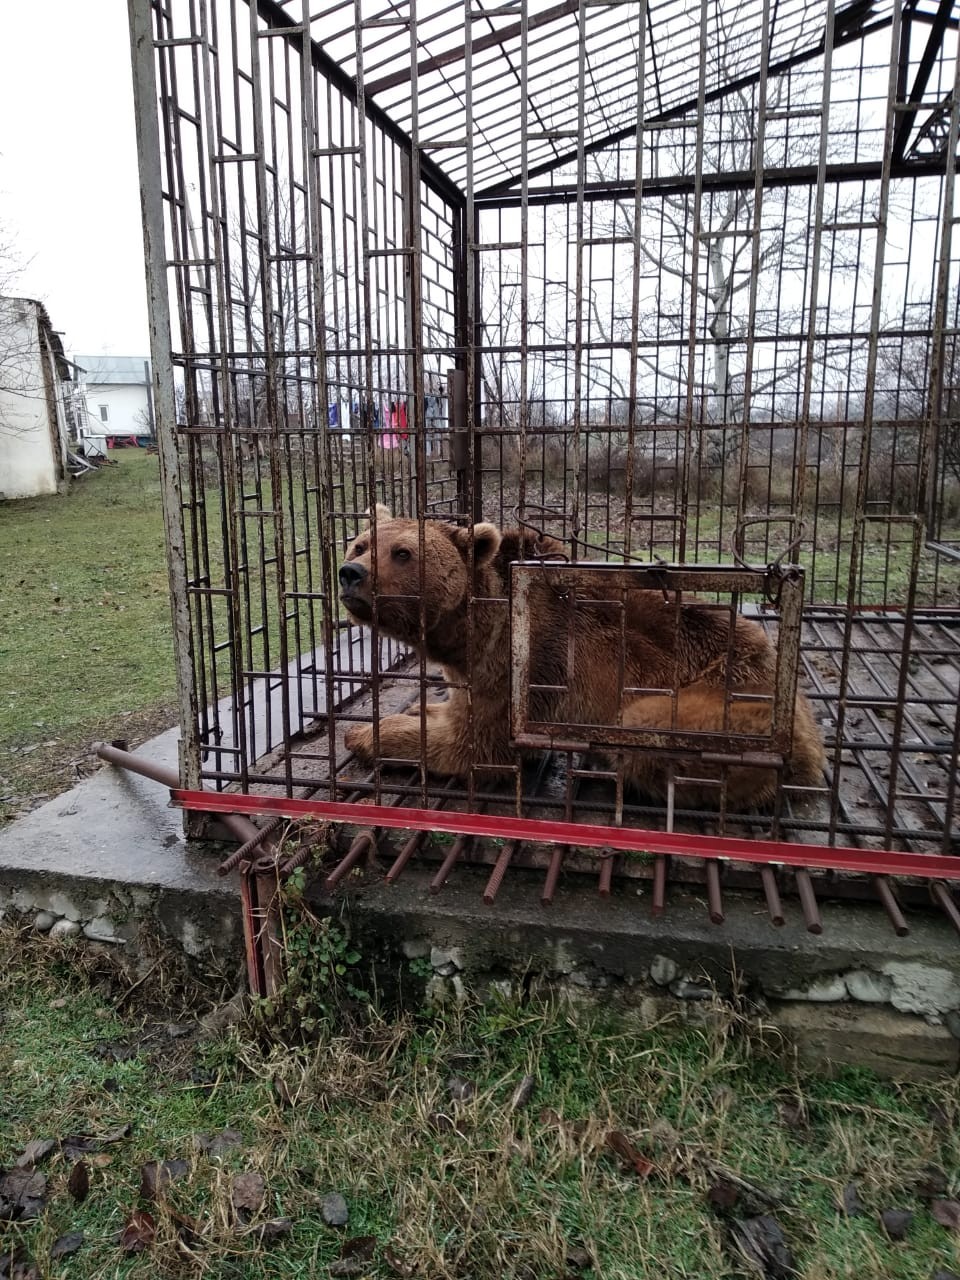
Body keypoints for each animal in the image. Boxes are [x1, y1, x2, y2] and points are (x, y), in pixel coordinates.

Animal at [337, 509, 829, 808]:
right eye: (361, 544)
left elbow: (476, 745)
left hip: (728, 706)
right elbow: (458, 710)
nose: (350, 573)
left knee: (646, 734)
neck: (470, 628)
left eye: (402, 553)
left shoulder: (527, 660)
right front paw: (422, 707)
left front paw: (366, 734)